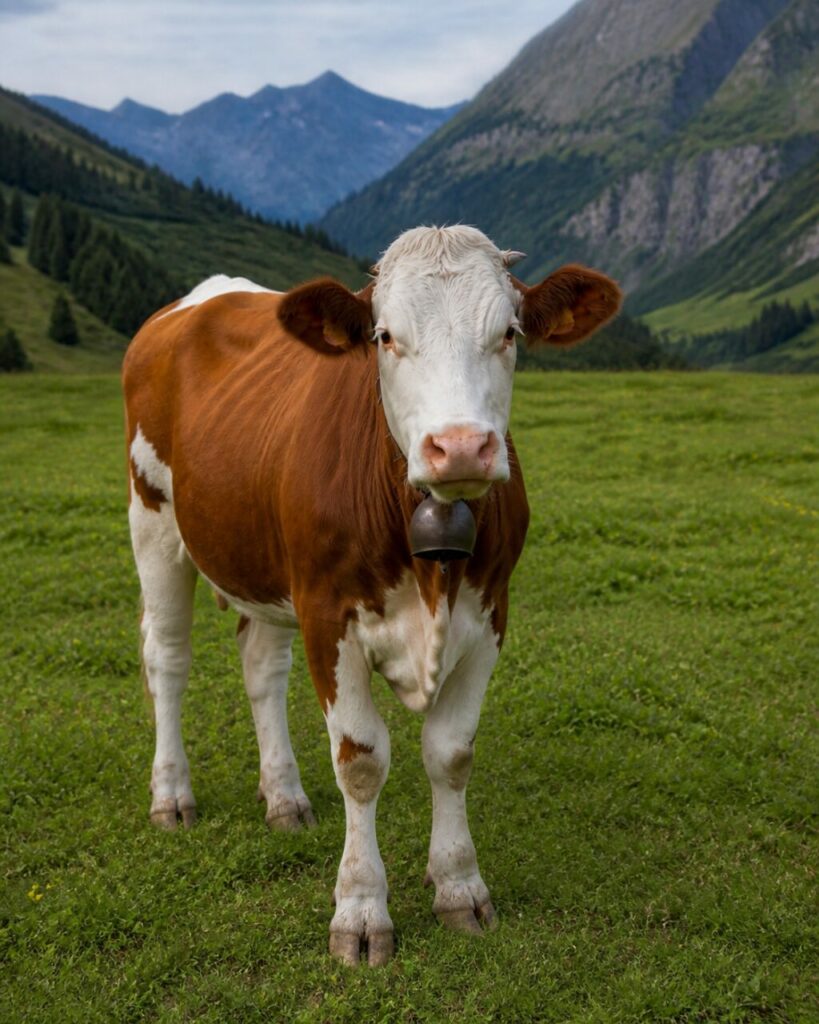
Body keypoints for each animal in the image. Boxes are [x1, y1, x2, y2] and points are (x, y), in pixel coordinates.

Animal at [123, 225, 621, 966]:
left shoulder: (490, 613)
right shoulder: (327, 614)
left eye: (508, 332)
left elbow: (451, 752)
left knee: (260, 666)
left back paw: (284, 796)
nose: (460, 447)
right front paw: (360, 912)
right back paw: (172, 795)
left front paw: (459, 886)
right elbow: (360, 761)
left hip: (267, 564)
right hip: (153, 518)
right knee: (168, 659)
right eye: (385, 336)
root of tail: (209, 294)